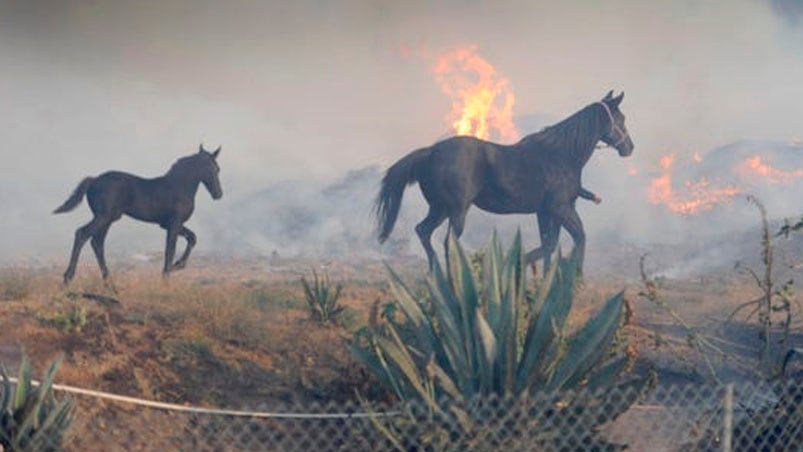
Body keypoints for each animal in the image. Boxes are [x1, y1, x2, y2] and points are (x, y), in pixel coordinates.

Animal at [53, 145, 223, 284]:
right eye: (212, 168)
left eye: (217, 169)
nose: (218, 194)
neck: (179, 186)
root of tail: (94, 180)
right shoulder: (174, 224)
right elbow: (170, 251)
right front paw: (167, 280)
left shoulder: (168, 225)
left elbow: (192, 238)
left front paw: (178, 266)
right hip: (103, 217)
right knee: (82, 234)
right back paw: (68, 278)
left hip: (108, 219)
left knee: (97, 243)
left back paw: (109, 282)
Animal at [376, 88, 636, 272]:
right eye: (621, 119)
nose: (629, 148)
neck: (560, 155)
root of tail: (431, 152)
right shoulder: (561, 208)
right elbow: (579, 238)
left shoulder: (546, 212)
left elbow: (548, 246)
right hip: (456, 211)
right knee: (449, 243)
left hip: (439, 209)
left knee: (423, 231)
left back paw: (435, 275)